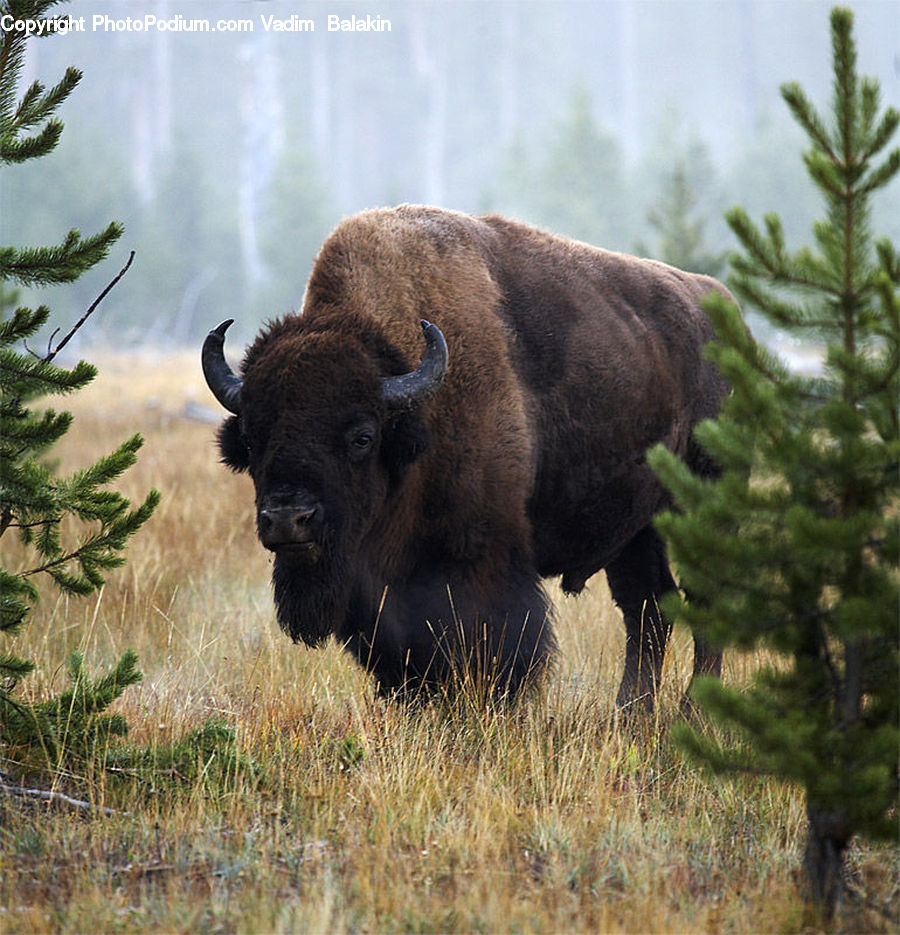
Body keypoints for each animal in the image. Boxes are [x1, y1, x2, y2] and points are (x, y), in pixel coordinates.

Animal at [202, 205, 730, 710]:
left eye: (362, 437)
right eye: (251, 437)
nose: (288, 519)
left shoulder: (484, 562)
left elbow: (500, 647)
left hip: (703, 503)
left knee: (703, 601)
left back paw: (692, 711)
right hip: (636, 528)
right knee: (648, 608)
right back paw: (631, 715)